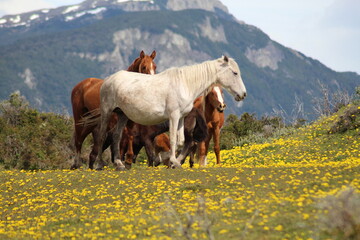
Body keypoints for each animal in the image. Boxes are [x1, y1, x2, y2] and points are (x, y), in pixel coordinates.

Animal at [97, 55, 246, 170]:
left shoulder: (181, 118)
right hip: (107, 112)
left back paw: (119, 164)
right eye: (235, 73)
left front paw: (174, 162)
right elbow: (174, 140)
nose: (243, 94)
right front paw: (173, 161)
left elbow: (181, 141)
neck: (185, 84)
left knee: (116, 136)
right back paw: (99, 164)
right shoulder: (173, 116)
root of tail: (108, 80)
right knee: (101, 136)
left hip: (122, 115)